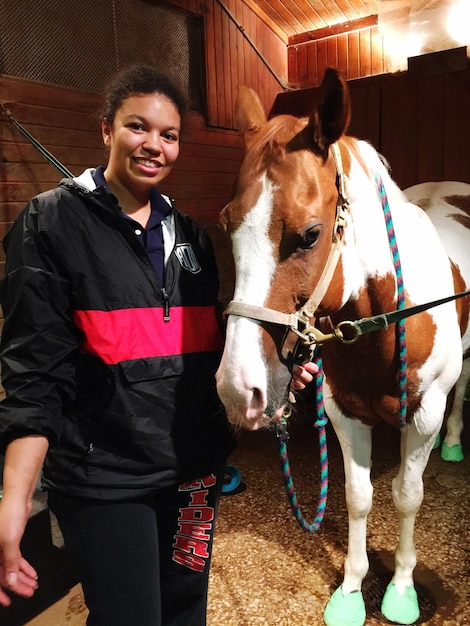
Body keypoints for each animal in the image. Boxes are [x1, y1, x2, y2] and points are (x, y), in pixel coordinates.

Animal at [216, 68, 470, 624]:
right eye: (227, 224)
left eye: (311, 234)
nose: (237, 389)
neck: (385, 320)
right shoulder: (343, 411)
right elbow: (358, 496)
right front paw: (352, 591)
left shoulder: (423, 416)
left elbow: (407, 496)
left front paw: (401, 589)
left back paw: (456, 442)